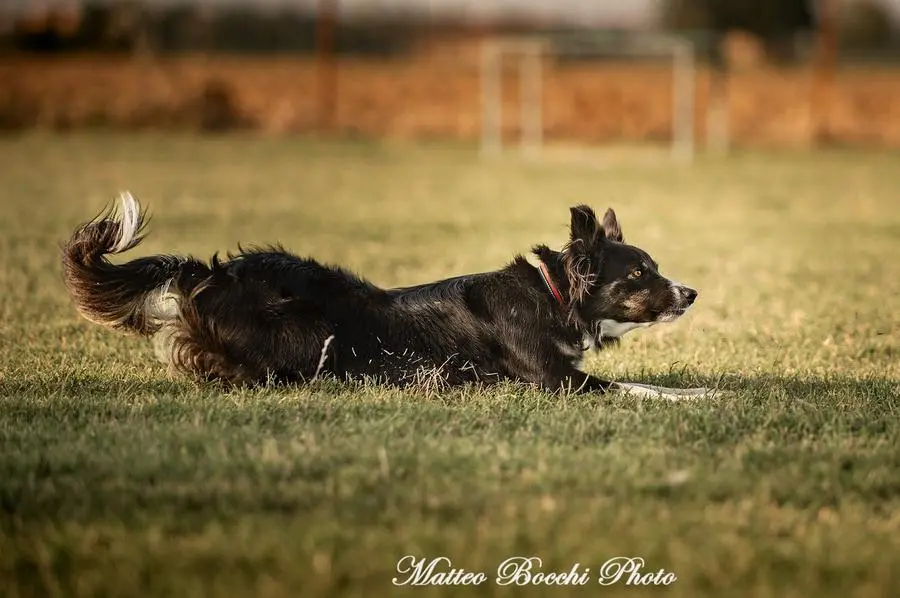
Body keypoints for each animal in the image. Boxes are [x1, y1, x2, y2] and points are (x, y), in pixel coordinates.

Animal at [63, 192, 712, 398]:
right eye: (638, 274)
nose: (691, 292)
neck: (554, 295)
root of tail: (212, 275)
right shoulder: (556, 380)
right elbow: (642, 389)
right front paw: (703, 395)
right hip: (308, 329)